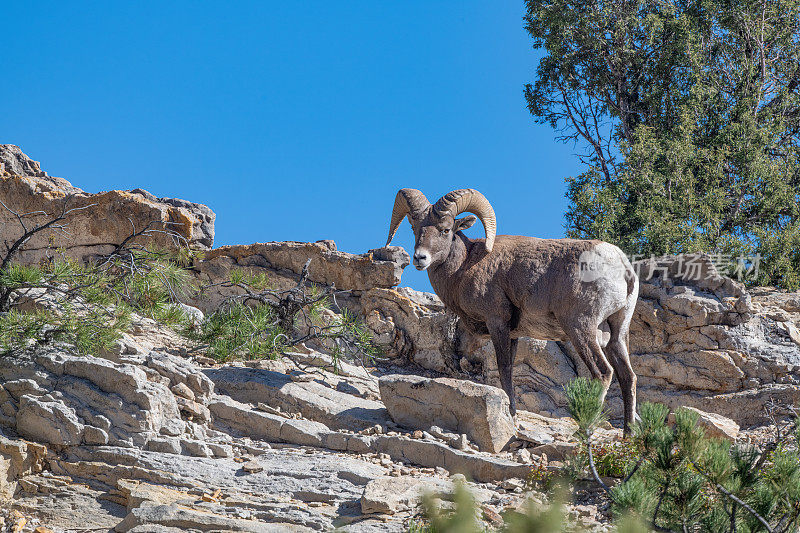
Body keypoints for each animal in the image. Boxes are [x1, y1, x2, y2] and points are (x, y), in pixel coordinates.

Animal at [384, 189, 640, 430]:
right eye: (414, 228)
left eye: (445, 230)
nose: (420, 258)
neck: (465, 265)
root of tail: (621, 265)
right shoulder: (514, 333)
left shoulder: (497, 323)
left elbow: (504, 369)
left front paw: (511, 415)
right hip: (617, 333)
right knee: (628, 377)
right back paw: (628, 436)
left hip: (580, 328)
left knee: (603, 373)